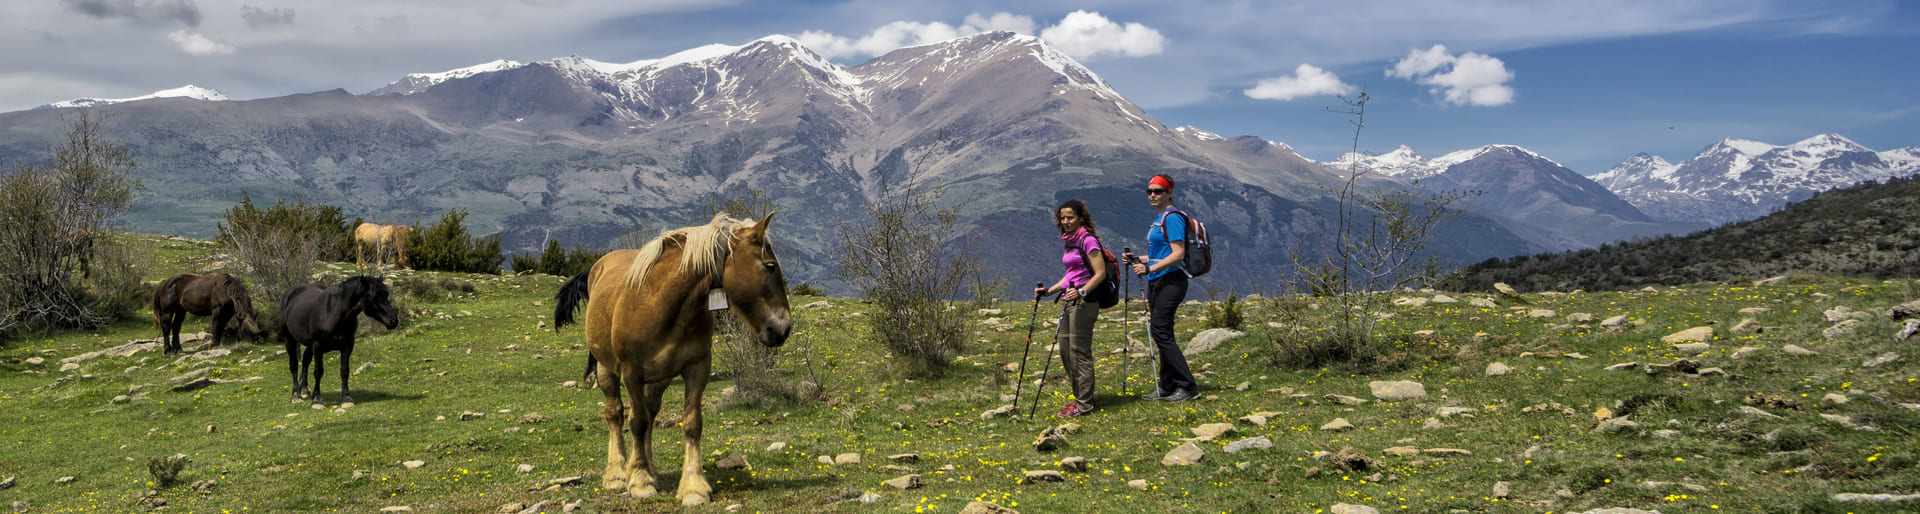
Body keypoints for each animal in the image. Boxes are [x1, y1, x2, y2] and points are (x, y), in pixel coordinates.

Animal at [280, 274, 399, 408]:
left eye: (386, 294)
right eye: (374, 296)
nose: (394, 321)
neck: (333, 312)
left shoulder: (348, 344)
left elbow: (344, 371)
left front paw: (346, 398)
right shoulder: (317, 345)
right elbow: (318, 372)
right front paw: (317, 400)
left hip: (309, 344)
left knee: (305, 360)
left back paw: (304, 390)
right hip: (290, 340)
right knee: (294, 365)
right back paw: (296, 395)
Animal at [552, 212, 791, 506]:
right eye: (769, 266)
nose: (783, 328)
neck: (660, 302)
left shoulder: (697, 368)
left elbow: (691, 423)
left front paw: (693, 486)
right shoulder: (631, 373)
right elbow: (636, 422)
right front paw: (639, 481)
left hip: (660, 377)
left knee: (651, 411)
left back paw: (649, 468)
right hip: (607, 369)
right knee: (616, 414)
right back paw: (618, 473)